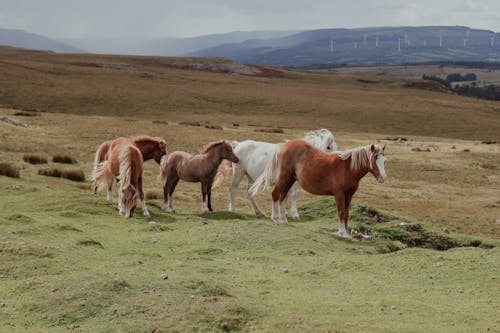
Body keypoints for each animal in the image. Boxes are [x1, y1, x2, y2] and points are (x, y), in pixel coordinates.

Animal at [252, 139, 388, 237]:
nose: (383, 178)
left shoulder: (349, 195)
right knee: (276, 194)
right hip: (285, 178)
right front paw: (342, 233)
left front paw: (346, 233)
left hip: (290, 180)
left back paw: (284, 220)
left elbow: (347, 213)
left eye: (384, 160)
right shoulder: (339, 194)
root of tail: (284, 146)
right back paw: (275, 219)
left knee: (282, 197)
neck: (348, 168)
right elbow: (341, 212)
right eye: (374, 158)